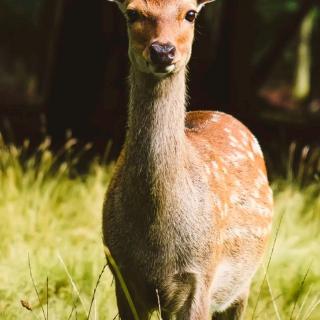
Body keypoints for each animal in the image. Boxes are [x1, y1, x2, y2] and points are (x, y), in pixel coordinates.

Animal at [102, 0, 272, 318]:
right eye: (132, 13)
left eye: (190, 13)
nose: (163, 50)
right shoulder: (121, 273)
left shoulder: (202, 275)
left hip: (242, 283)